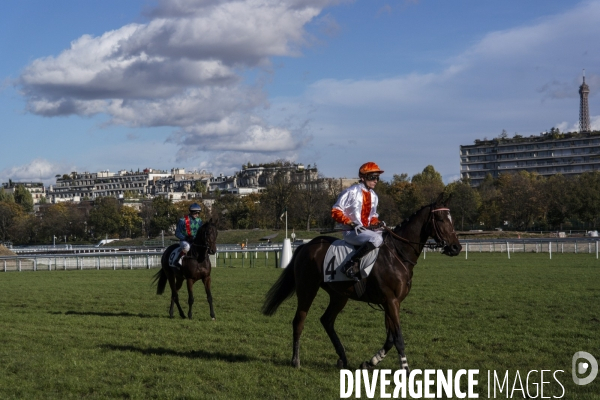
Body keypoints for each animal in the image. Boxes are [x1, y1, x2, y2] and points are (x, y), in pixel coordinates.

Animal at [260, 194, 462, 368]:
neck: (397, 254)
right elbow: (398, 338)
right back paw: (296, 360)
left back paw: (342, 357)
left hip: (339, 295)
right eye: (441, 219)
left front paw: (370, 362)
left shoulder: (391, 303)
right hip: (307, 288)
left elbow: (390, 338)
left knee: (327, 320)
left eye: (452, 219)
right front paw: (405, 369)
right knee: (299, 321)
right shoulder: (391, 301)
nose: (456, 247)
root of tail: (306, 246)